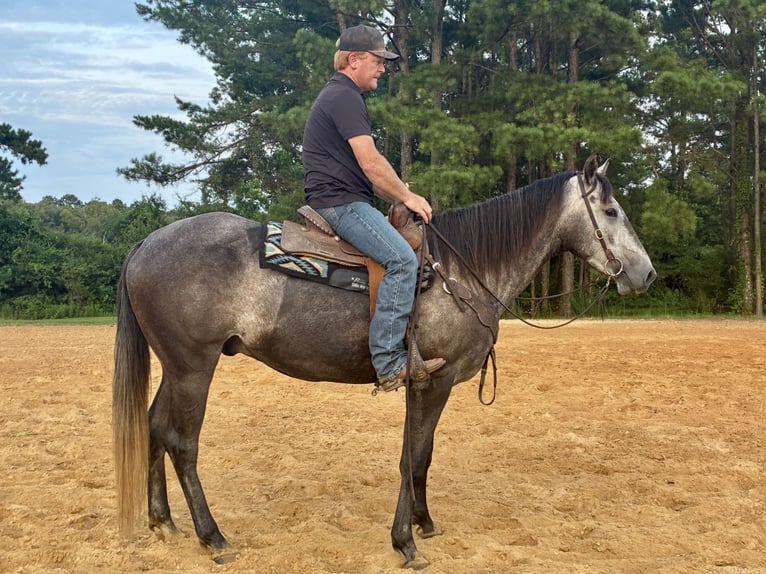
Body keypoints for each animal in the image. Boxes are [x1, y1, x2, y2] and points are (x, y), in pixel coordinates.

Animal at [112, 156, 656, 568]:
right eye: (610, 210)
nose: (646, 274)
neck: (461, 272)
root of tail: (145, 243)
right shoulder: (431, 381)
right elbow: (410, 456)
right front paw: (405, 542)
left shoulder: (432, 384)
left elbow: (423, 455)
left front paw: (424, 522)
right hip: (193, 367)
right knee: (182, 443)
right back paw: (213, 537)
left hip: (175, 367)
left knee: (153, 425)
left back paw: (163, 522)